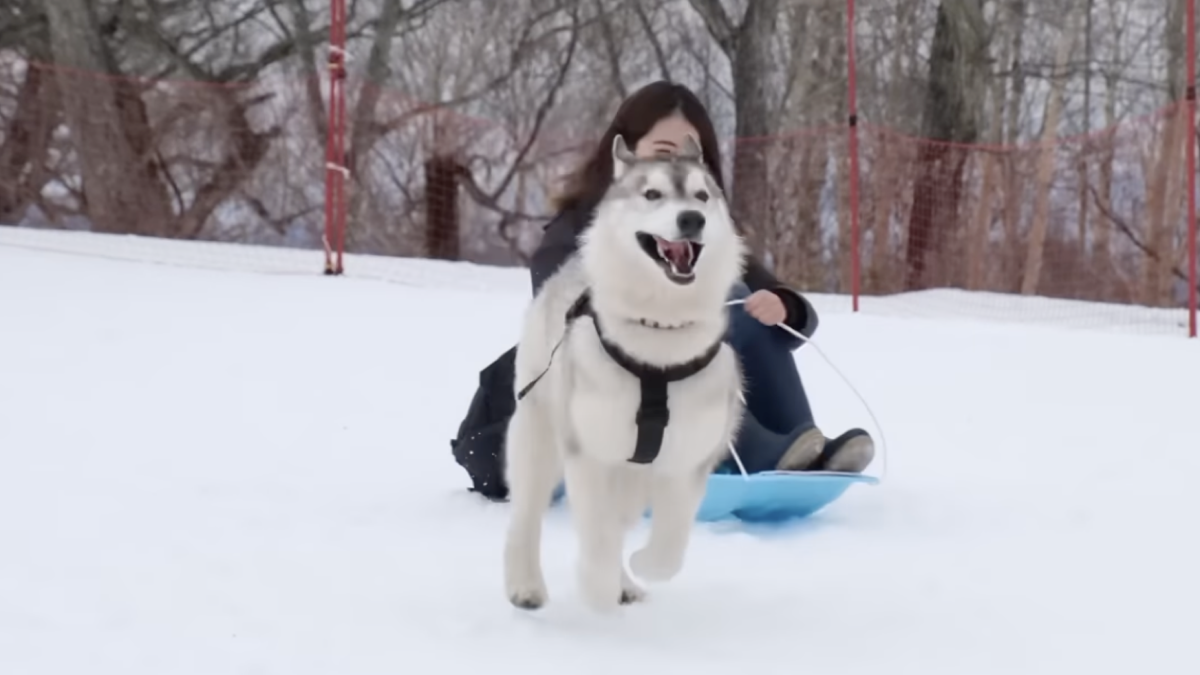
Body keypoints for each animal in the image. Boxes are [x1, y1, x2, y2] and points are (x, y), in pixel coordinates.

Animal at [501, 131, 744, 610]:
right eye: (651, 194)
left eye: (702, 196)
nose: (691, 219)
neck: (658, 339)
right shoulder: (591, 452)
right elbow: (597, 536)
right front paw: (597, 589)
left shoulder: (689, 459)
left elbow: (670, 546)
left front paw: (641, 567)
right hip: (538, 434)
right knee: (527, 514)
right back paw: (526, 585)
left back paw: (625, 581)